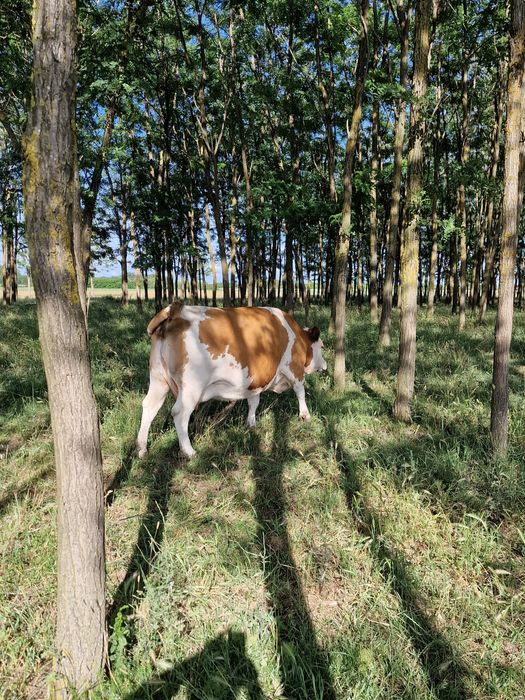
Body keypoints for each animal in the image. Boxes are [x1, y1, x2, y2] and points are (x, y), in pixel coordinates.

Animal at [136, 303, 328, 458]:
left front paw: (251, 424)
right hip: (192, 386)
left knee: (150, 406)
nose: (325, 365)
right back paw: (189, 451)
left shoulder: (255, 380)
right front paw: (305, 415)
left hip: (158, 379)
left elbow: (254, 402)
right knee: (179, 413)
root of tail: (175, 310)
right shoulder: (294, 368)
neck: (297, 337)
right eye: (322, 346)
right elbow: (300, 391)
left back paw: (141, 449)